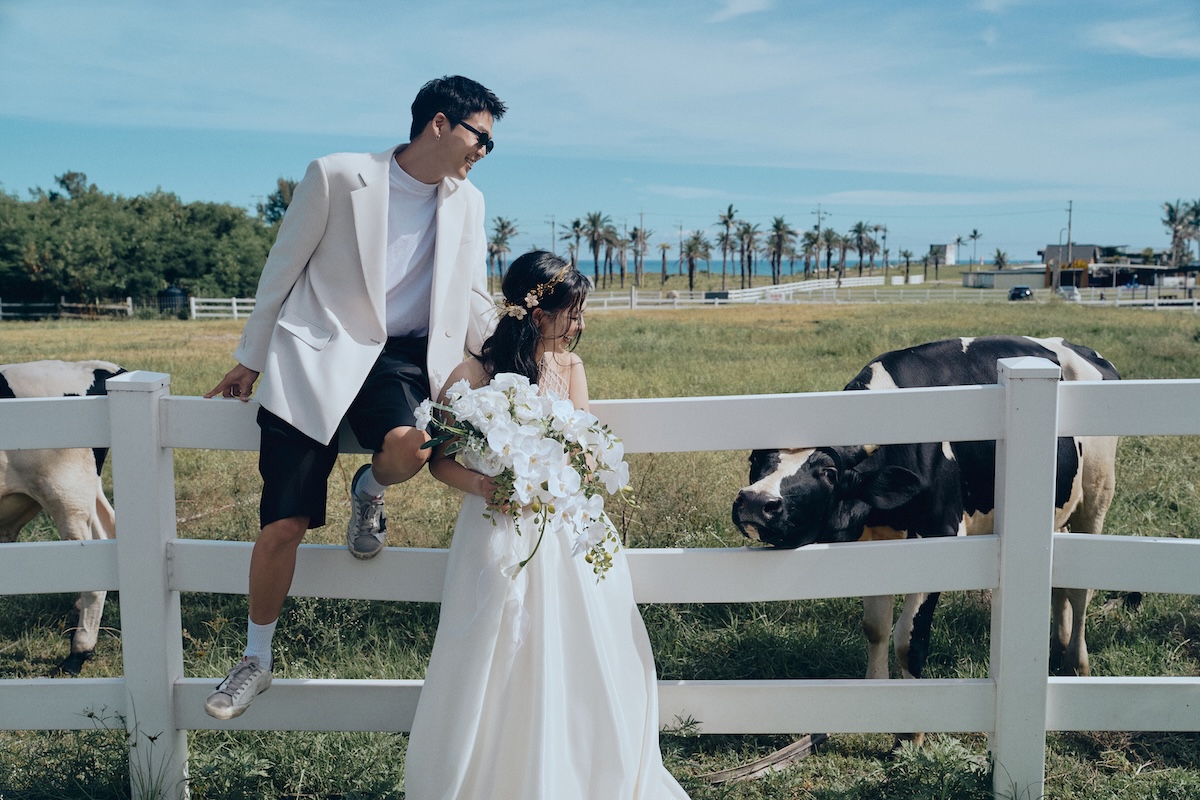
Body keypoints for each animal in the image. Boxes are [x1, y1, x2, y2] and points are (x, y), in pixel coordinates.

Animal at [731, 336, 1120, 746]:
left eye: (828, 472)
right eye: (757, 460)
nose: (756, 502)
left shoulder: (941, 535)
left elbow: (907, 639)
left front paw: (909, 731)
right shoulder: (872, 546)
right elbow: (875, 627)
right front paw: (874, 696)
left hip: (1095, 496)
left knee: (1081, 589)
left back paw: (1076, 661)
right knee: (1061, 578)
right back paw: (1058, 647)